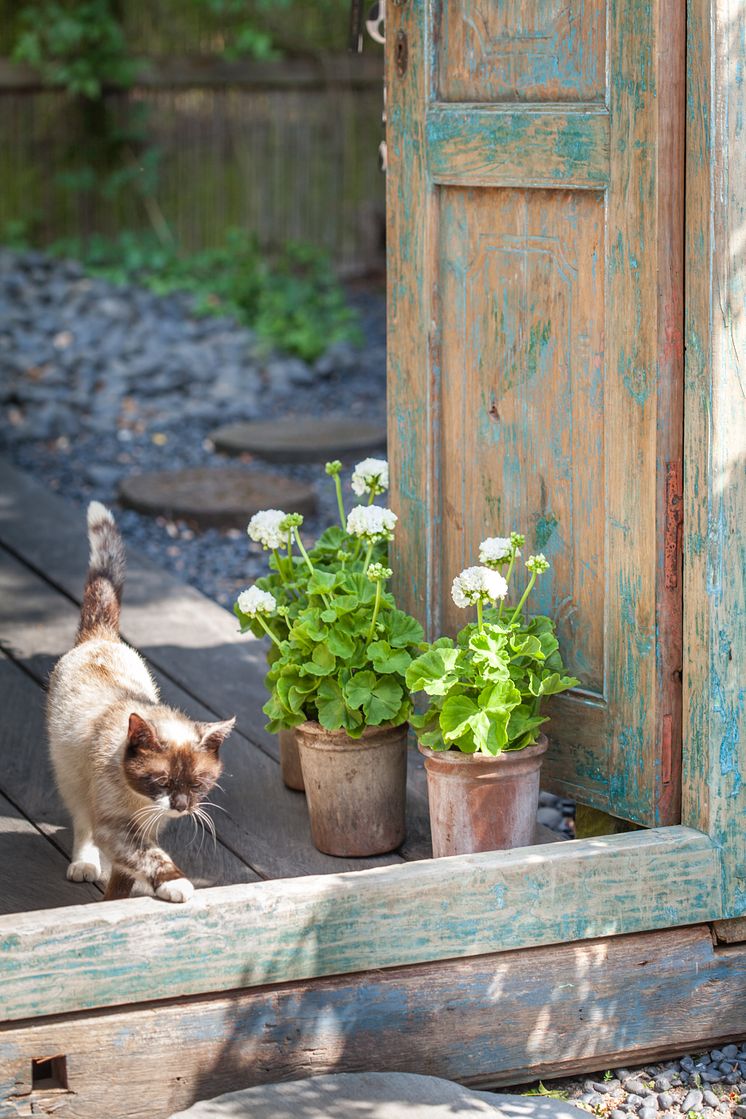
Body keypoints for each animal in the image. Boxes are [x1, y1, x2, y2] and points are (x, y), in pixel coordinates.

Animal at [47, 503, 233, 904]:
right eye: (160, 781)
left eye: (198, 785)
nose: (180, 807)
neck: (140, 803)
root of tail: (100, 637)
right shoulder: (116, 826)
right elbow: (147, 856)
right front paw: (174, 884)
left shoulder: (149, 825)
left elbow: (126, 872)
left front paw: (121, 898)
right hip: (71, 779)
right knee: (82, 823)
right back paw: (84, 864)